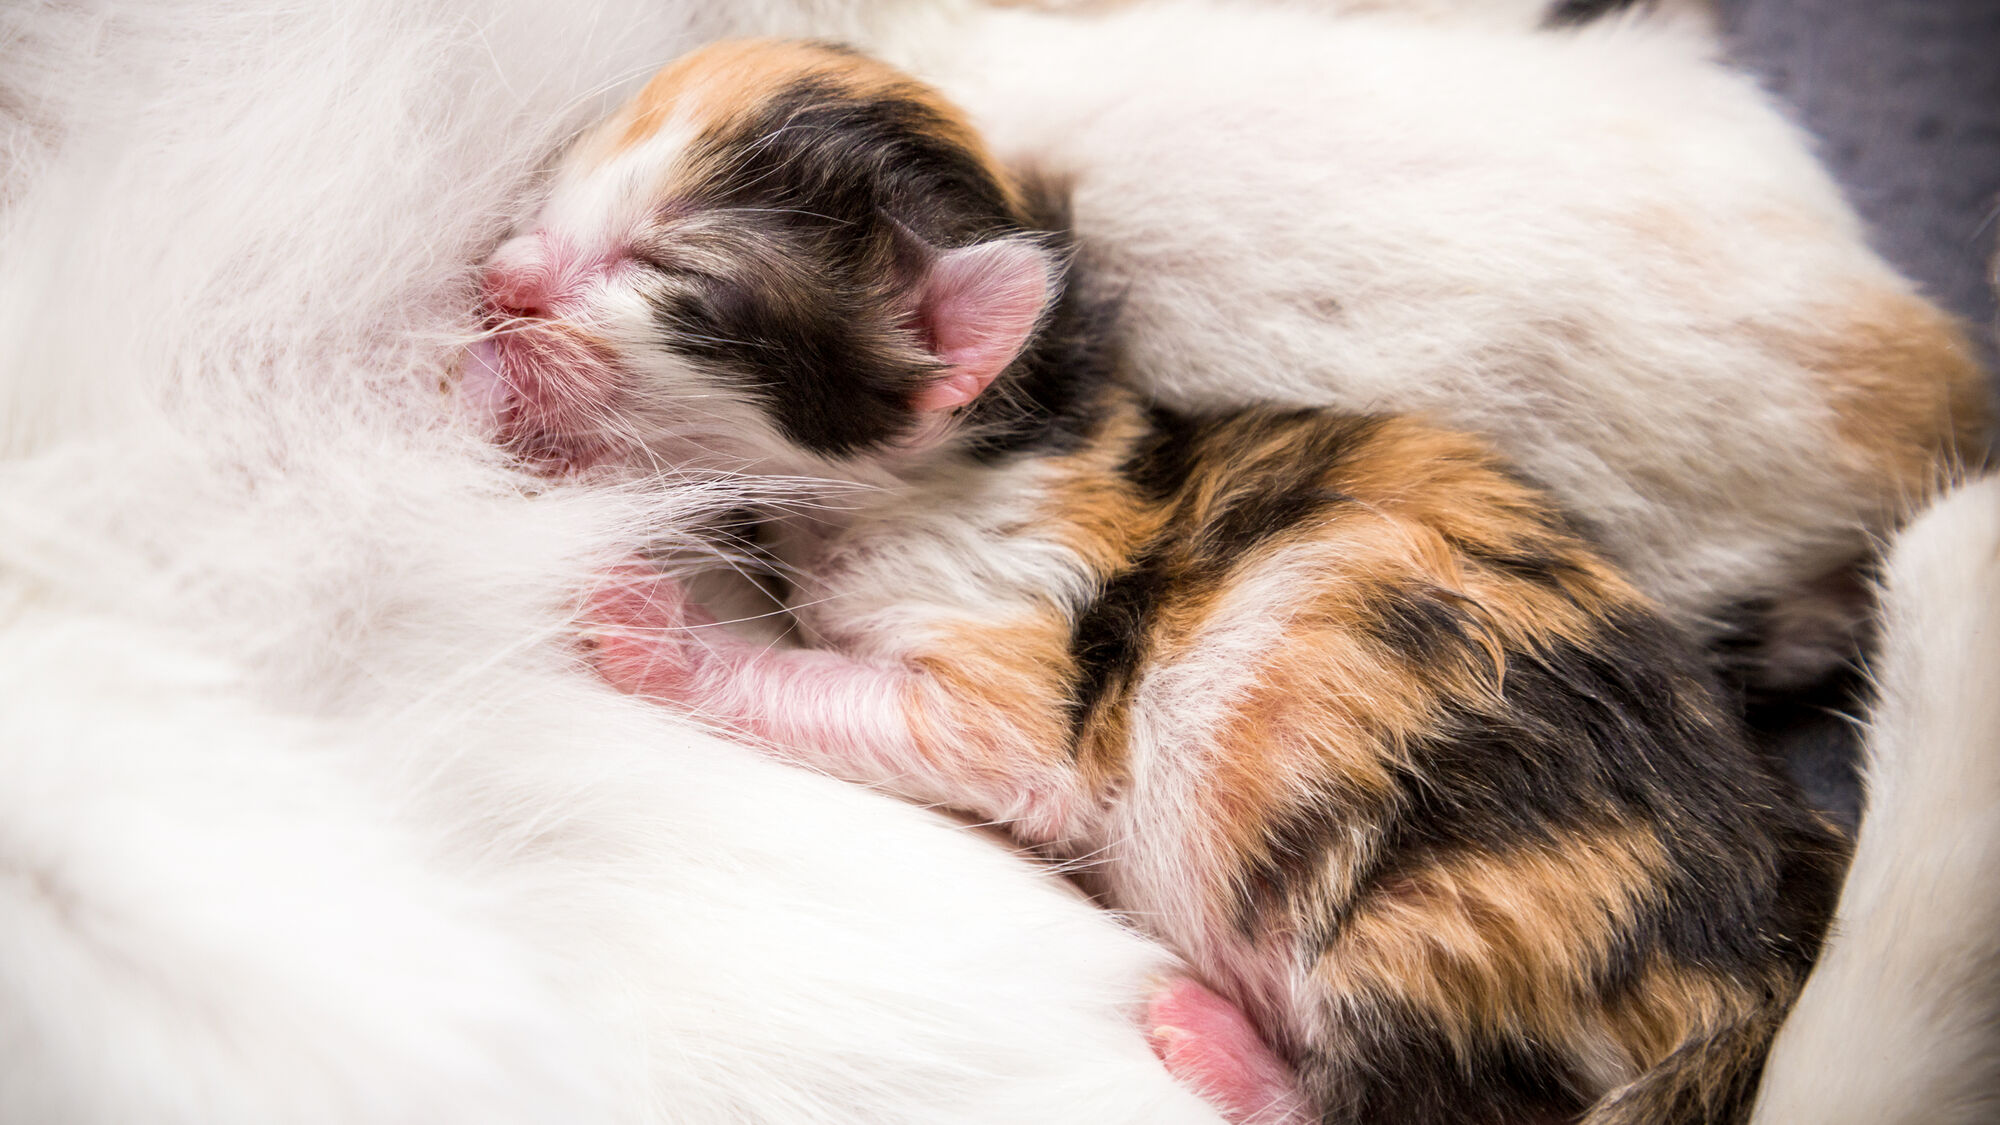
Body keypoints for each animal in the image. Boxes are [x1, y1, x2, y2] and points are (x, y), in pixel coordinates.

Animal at [468, 37, 1840, 1120]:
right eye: (562, 199)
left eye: (671, 275)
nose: (497, 280)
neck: (1007, 437)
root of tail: (1756, 962)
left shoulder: (1013, 638)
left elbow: (954, 732)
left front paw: (659, 627)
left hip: (1448, 913)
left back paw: (1221, 1049)